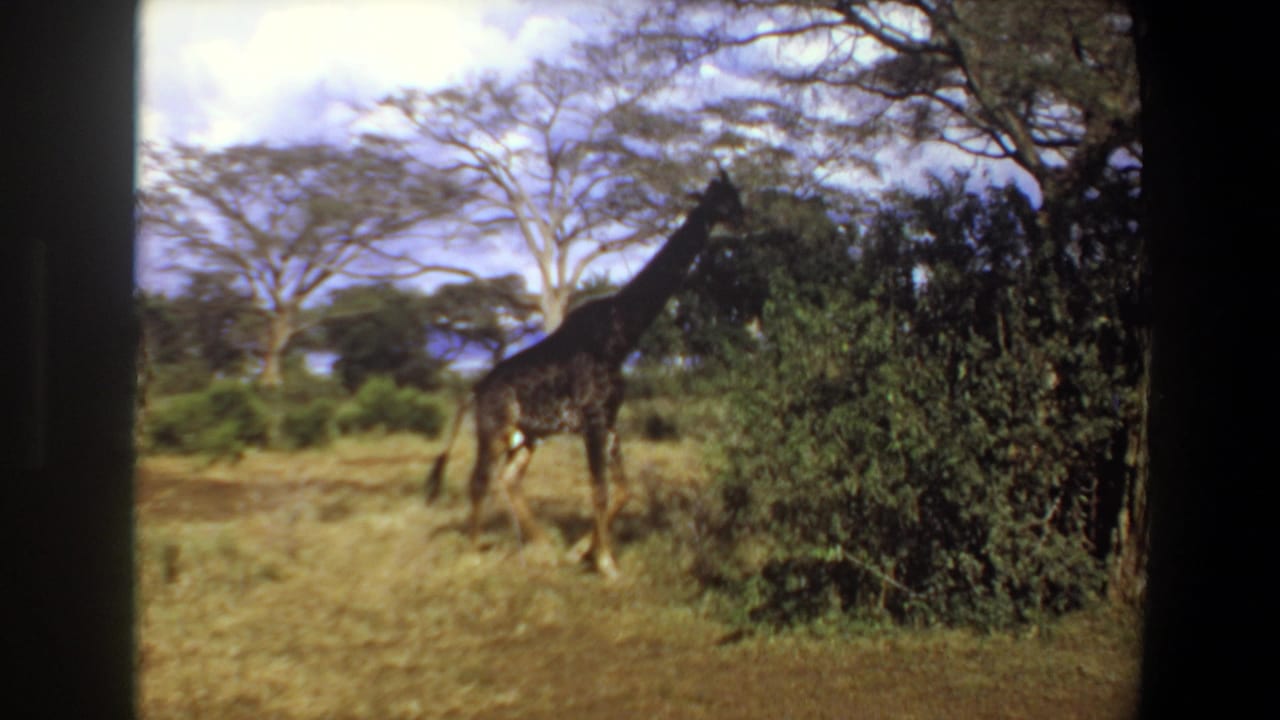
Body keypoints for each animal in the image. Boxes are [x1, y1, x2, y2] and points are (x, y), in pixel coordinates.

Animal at [425, 170, 744, 579]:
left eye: (736, 196)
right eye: (724, 199)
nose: (744, 221)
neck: (620, 335)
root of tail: (474, 390)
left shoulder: (610, 420)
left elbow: (623, 490)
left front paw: (581, 551)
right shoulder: (592, 419)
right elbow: (600, 490)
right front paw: (607, 564)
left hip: (529, 435)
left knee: (509, 479)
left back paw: (545, 545)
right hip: (494, 430)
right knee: (479, 480)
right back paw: (473, 551)